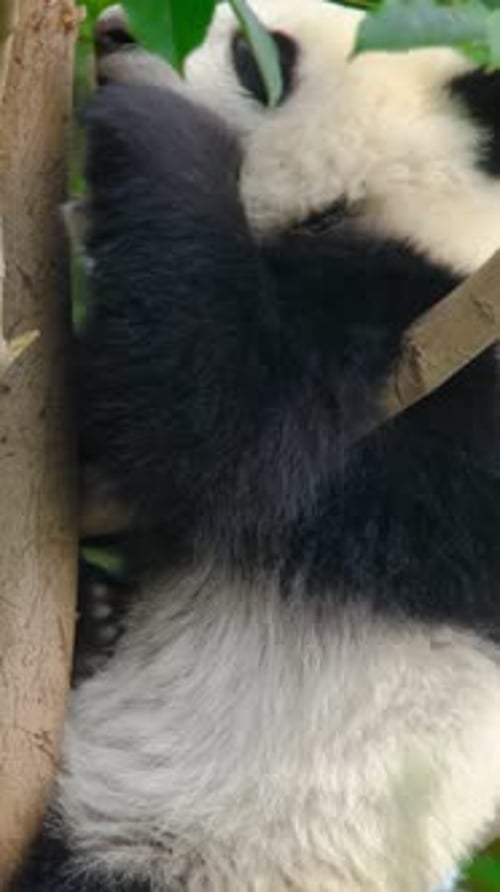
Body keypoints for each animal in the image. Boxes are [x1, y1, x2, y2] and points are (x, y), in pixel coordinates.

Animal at [14, 0, 500, 890]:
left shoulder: (411, 335)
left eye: (259, 54)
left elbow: (216, 422)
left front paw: (152, 131)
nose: (116, 32)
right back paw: (97, 618)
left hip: (198, 850)